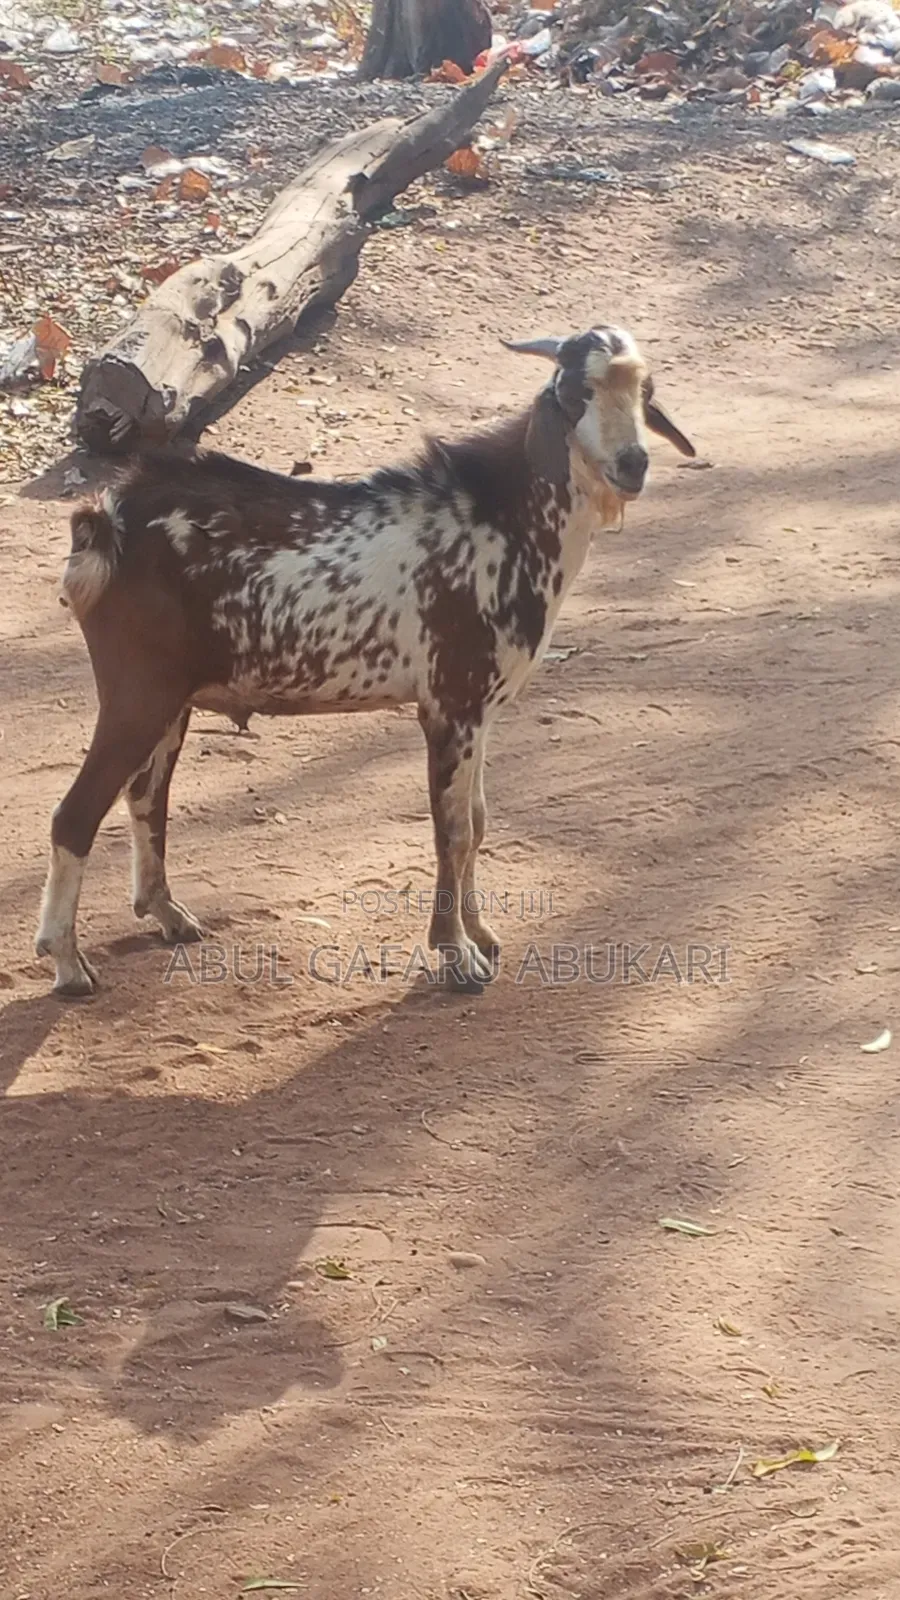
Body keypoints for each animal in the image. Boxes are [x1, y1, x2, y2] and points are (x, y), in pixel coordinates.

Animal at [36, 326, 695, 999]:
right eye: (576, 392)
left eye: (646, 390)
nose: (632, 463)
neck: (501, 518)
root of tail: (105, 521)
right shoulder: (450, 706)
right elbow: (453, 832)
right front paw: (456, 957)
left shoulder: (480, 712)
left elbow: (478, 822)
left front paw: (480, 936)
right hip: (137, 693)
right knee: (75, 816)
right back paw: (67, 962)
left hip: (171, 701)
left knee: (146, 795)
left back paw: (166, 913)